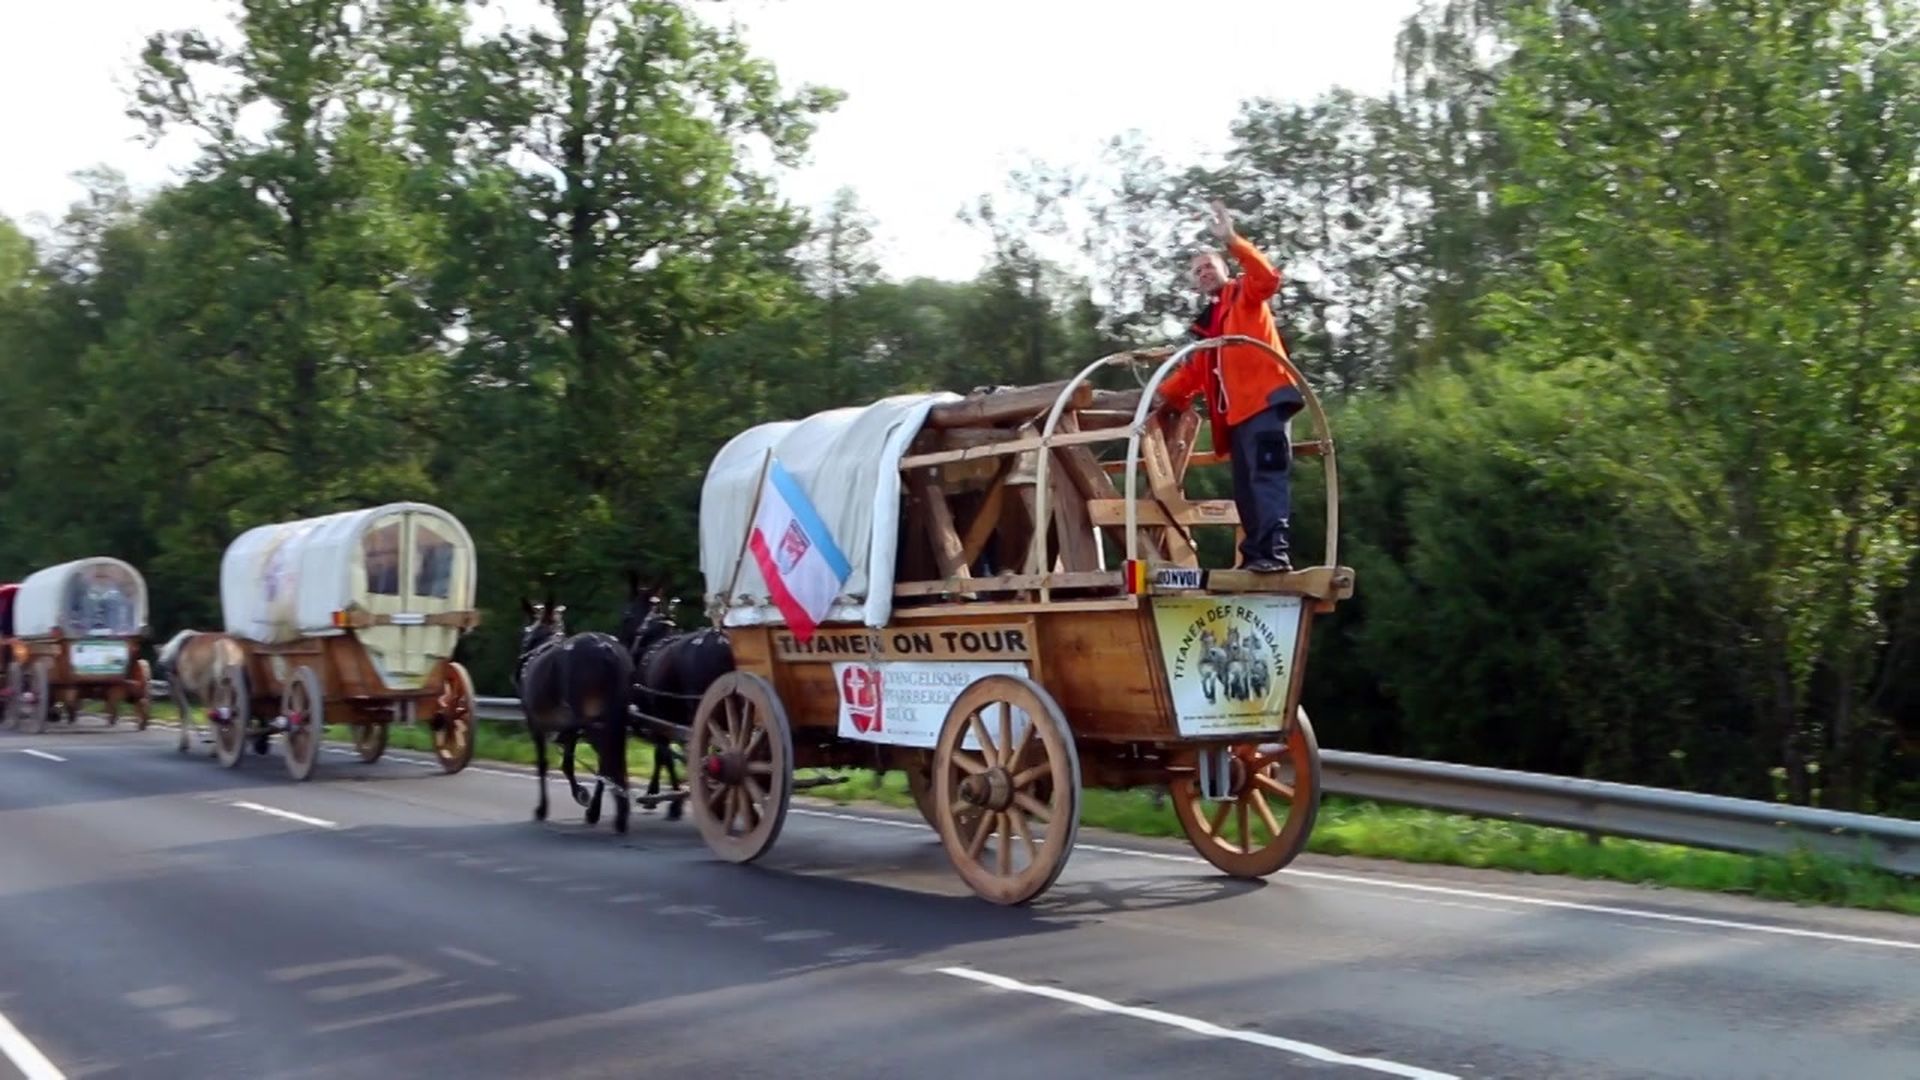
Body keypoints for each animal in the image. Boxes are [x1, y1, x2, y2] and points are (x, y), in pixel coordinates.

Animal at [514, 584, 633, 826]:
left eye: (526, 630)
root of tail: (607, 650)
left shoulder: (537, 724)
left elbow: (544, 764)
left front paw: (543, 808)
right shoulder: (570, 728)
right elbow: (567, 763)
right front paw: (581, 794)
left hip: (591, 719)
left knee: (605, 757)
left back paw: (604, 810)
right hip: (611, 715)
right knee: (612, 756)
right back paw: (615, 809)